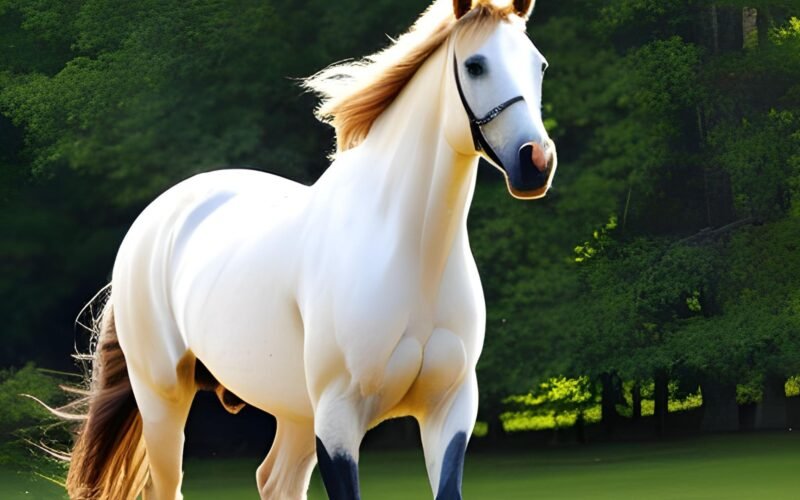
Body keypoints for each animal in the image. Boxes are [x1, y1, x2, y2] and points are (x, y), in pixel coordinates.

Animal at [65, 0, 557, 498]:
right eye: (475, 65)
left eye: (539, 65)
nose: (535, 161)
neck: (408, 252)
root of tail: (151, 221)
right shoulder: (338, 419)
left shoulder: (450, 409)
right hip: (163, 402)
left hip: (294, 411)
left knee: (274, 479)